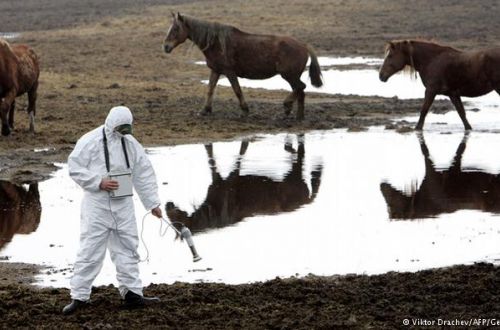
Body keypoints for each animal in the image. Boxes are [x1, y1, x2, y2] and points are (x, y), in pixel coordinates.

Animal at [162, 13, 322, 121]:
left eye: (175, 29)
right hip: (292, 76)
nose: (166, 47)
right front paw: (204, 110)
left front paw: (245, 111)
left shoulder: (229, 72)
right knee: (300, 91)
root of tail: (304, 45)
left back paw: (287, 106)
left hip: (289, 75)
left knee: (300, 88)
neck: (216, 43)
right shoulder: (216, 70)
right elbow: (210, 90)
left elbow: (237, 90)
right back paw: (298, 116)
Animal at [166, 135, 324, 233]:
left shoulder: (231, 178)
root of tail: (307, 200)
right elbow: (210, 156)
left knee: (301, 156)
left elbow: (239, 156)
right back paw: (289, 146)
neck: (215, 211)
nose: (168, 205)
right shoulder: (217, 180)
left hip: (294, 174)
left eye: (175, 221)